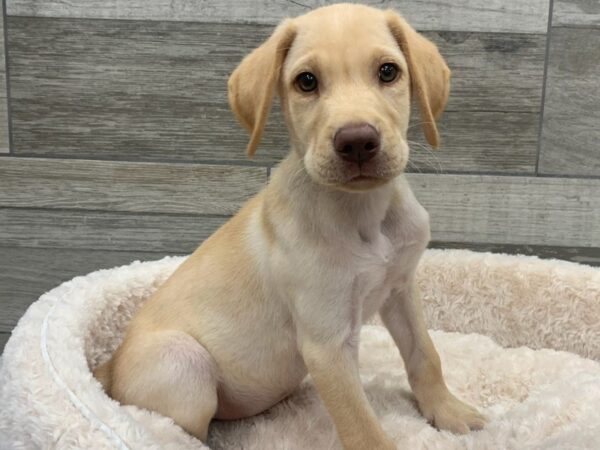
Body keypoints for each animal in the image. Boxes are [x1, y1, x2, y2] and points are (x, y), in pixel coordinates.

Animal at [96, 4, 486, 450]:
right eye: (307, 81)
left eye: (388, 72)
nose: (357, 142)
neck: (363, 214)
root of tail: (110, 367)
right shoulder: (326, 344)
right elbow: (360, 424)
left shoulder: (401, 290)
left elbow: (425, 353)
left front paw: (448, 411)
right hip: (183, 363)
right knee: (182, 431)